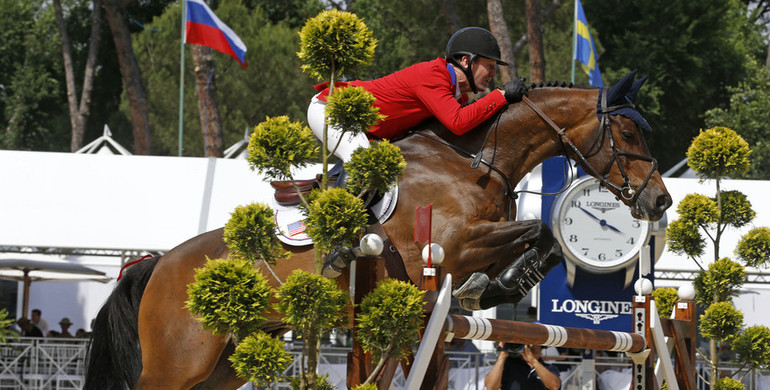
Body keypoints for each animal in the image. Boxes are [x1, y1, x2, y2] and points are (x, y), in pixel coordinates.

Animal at [84, 71, 668, 388]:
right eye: (626, 132)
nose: (659, 200)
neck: (475, 160)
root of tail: (157, 264)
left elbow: (539, 239)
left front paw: (496, 286)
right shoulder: (450, 246)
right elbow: (536, 231)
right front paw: (494, 285)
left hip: (225, 363)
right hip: (176, 363)